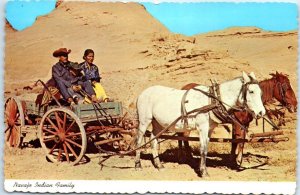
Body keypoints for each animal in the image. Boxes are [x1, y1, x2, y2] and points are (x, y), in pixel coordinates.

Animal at [135, 71, 264, 177]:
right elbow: (203, 149)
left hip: (158, 123)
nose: (261, 112)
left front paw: (201, 168)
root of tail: (142, 93)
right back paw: (138, 164)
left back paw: (159, 165)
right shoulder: (202, 128)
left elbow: (205, 149)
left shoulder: (209, 129)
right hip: (144, 121)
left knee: (153, 140)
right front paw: (204, 172)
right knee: (139, 141)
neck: (213, 100)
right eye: (251, 91)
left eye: (261, 93)